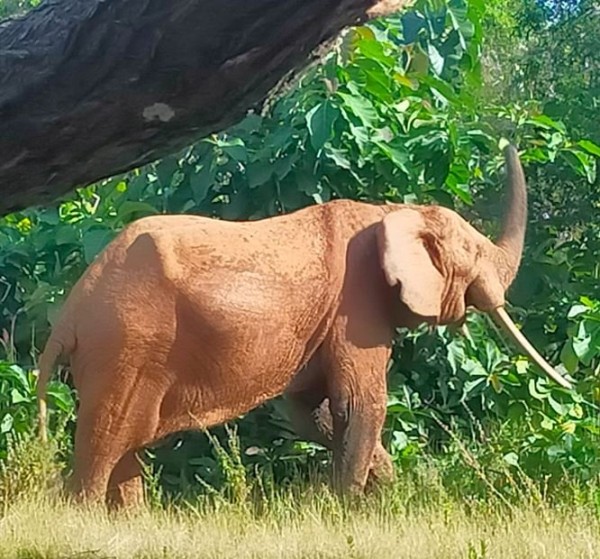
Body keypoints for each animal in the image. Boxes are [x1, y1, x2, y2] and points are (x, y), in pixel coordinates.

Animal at [35, 144, 568, 508]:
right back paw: (85, 516)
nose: (507, 139)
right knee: (107, 439)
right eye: (475, 252)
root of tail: (69, 315)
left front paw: (391, 496)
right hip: (126, 345)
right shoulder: (358, 304)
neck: (393, 210)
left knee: (126, 442)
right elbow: (359, 405)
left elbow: (312, 410)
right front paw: (352, 510)